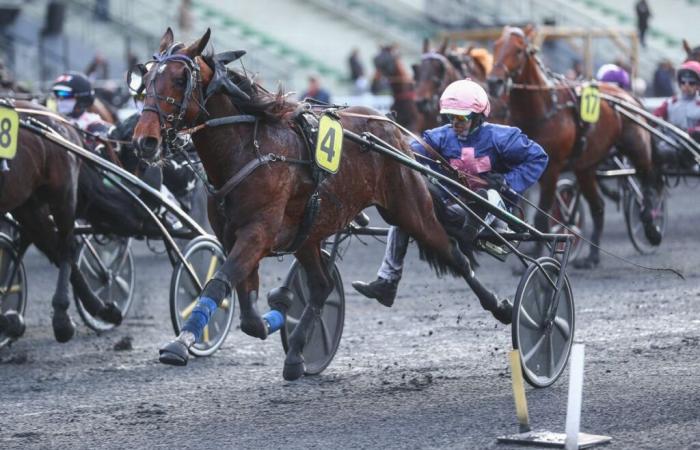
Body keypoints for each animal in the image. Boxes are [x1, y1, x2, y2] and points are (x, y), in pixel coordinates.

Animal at [0, 101, 123, 342]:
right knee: (54, 247)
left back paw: (63, 318)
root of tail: (62, 121)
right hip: (29, 205)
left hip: (62, 195)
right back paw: (101, 308)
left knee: (67, 246)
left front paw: (9, 320)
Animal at [133, 28, 516, 380]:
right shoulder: (232, 236)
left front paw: (180, 342)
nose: (144, 141)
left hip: (408, 208)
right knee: (321, 286)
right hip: (310, 231)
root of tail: (392, 129)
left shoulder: (257, 233)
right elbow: (247, 308)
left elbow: (219, 283)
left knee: (454, 254)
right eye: (147, 78)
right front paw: (275, 315)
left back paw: (503, 307)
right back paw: (296, 354)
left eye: (180, 79)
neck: (250, 150)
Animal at [486, 26, 660, 268]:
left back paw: (652, 229)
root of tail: (628, 95)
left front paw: (538, 257)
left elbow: (541, 216)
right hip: (585, 167)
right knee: (598, 207)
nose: (494, 82)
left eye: (519, 50)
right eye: (495, 46)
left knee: (648, 185)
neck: (542, 109)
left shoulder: (551, 168)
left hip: (637, 148)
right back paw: (592, 256)